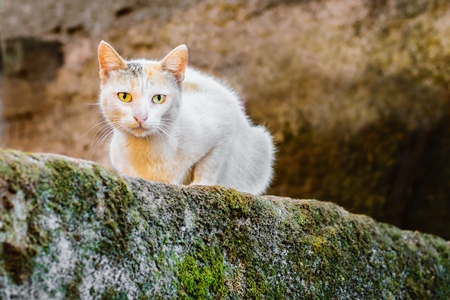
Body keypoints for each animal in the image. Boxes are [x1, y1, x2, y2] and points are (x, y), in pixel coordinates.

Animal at [98, 41, 274, 195]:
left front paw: (201, 184)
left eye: (158, 98)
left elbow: (210, 162)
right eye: (124, 96)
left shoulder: (224, 118)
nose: (140, 117)